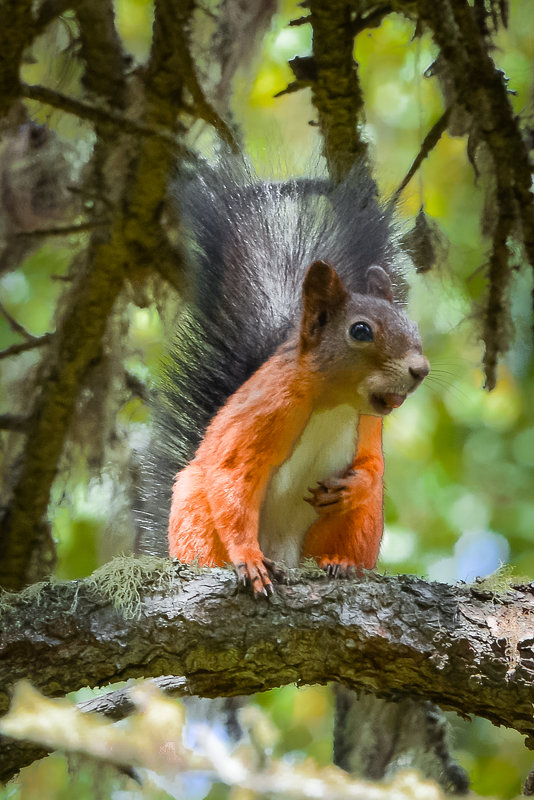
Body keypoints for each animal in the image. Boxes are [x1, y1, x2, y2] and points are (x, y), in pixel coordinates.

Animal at [143, 158, 432, 592]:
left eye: (412, 326)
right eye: (360, 331)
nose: (420, 370)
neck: (334, 404)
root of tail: (287, 554)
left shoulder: (368, 425)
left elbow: (373, 467)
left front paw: (353, 488)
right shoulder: (266, 411)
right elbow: (233, 482)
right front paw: (248, 560)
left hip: (360, 524)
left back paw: (341, 563)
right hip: (193, 504)